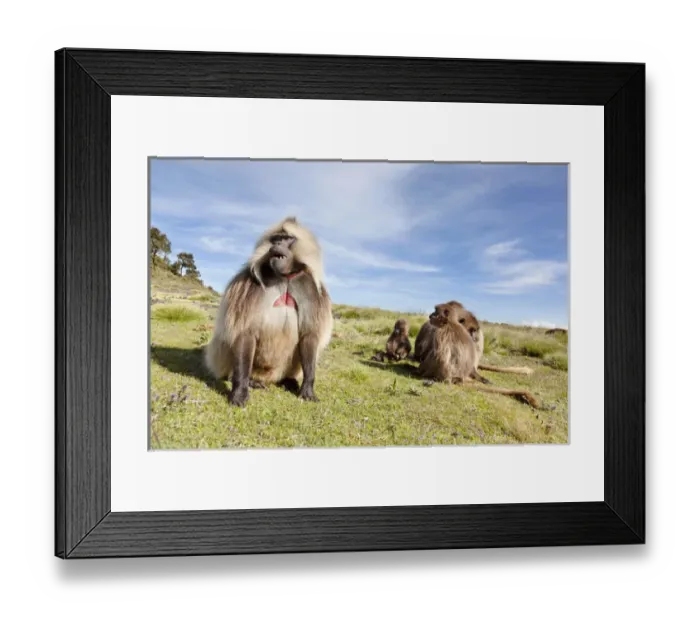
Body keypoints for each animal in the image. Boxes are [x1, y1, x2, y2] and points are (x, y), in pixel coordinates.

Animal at [204, 217, 333, 407]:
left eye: (286, 238)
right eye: (275, 238)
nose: (277, 244)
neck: (285, 277)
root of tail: (267, 377)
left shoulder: (311, 287)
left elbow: (309, 335)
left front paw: (307, 388)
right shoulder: (247, 284)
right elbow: (244, 332)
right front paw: (240, 392)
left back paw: (288, 380)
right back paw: (250, 381)